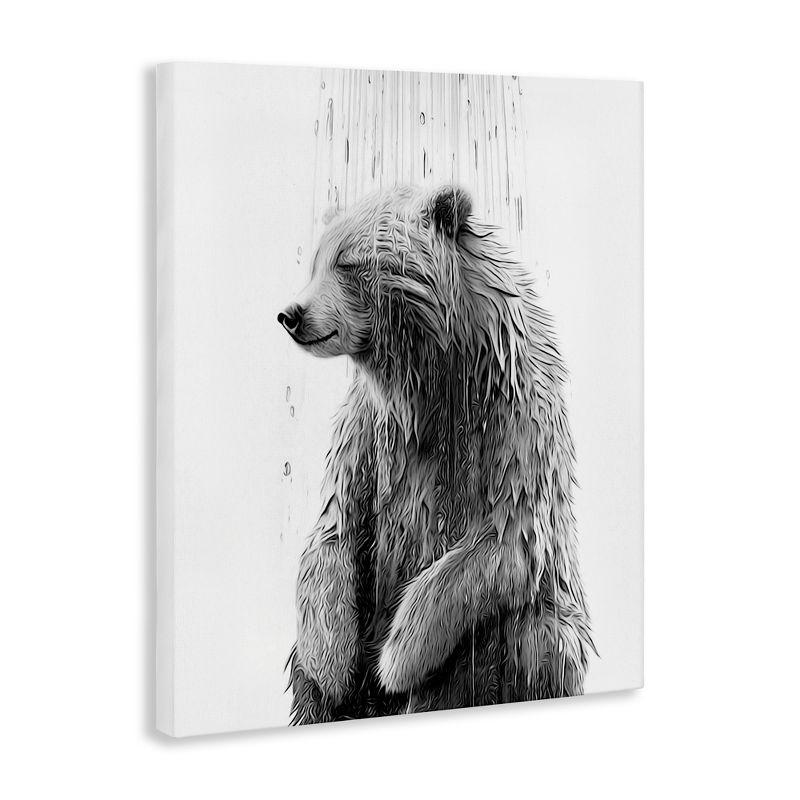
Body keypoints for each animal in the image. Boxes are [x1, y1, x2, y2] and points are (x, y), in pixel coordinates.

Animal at [278, 184, 594, 725]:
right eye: (315, 262)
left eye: (349, 262)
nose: (291, 314)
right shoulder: (372, 432)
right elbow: (335, 528)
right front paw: (334, 666)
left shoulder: (512, 421)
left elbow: (500, 541)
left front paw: (395, 659)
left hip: (539, 633)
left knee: (531, 638)